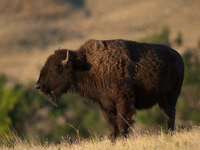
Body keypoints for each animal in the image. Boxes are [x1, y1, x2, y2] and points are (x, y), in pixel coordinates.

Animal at [35, 39, 184, 142]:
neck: (85, 65)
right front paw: (113, 143)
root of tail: (179, 57)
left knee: (170, 115)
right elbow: (112, 128)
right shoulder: (105, 106)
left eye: (54, 68)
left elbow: (122, 124)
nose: (38, 86)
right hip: (163, 99)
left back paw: (169, 135)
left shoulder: (123, 102)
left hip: (171, 96)